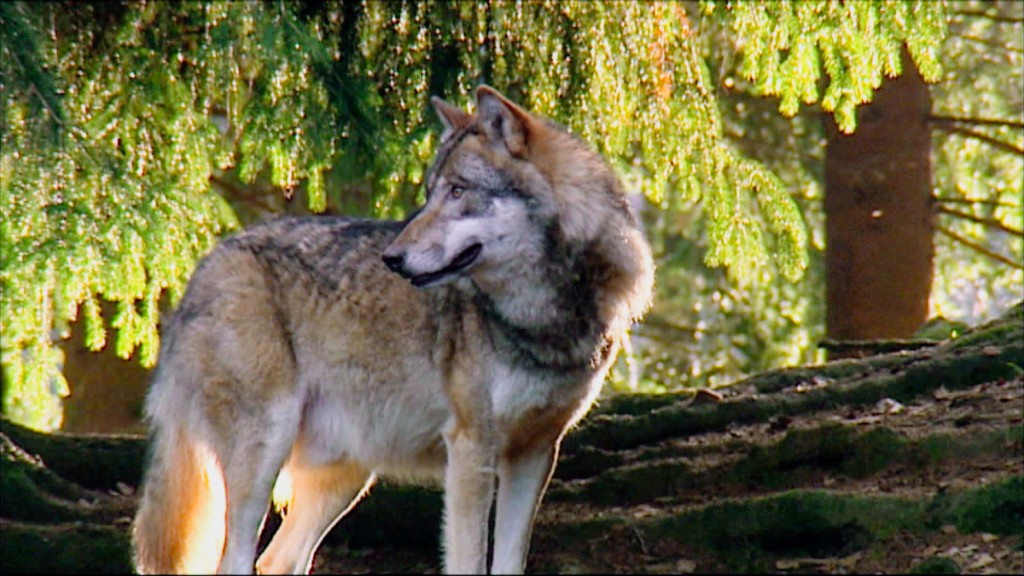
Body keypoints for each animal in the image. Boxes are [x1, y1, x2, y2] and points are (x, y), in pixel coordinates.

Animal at [131, 85, 654, 574]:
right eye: (429, 193)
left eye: (457, 191)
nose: (393, 258)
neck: (544, 317)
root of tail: (204, 267)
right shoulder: (471, 449)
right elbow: (469, 561)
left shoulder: (536, 453)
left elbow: (509, 563)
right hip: (263, 455)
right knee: (236, 559)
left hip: (348, 475)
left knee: (278, 560)